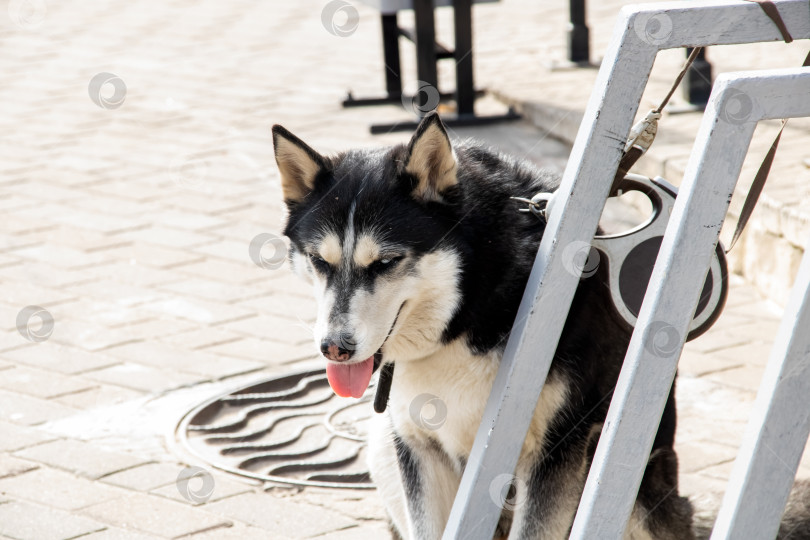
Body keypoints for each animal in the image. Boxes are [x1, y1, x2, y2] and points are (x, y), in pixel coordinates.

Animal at [274, 114, 808, 540]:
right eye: (320, 262)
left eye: (385, 262)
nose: (334, 348)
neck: (470, 316)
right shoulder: (417, 448)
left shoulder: (558, 452)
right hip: (382, 450)